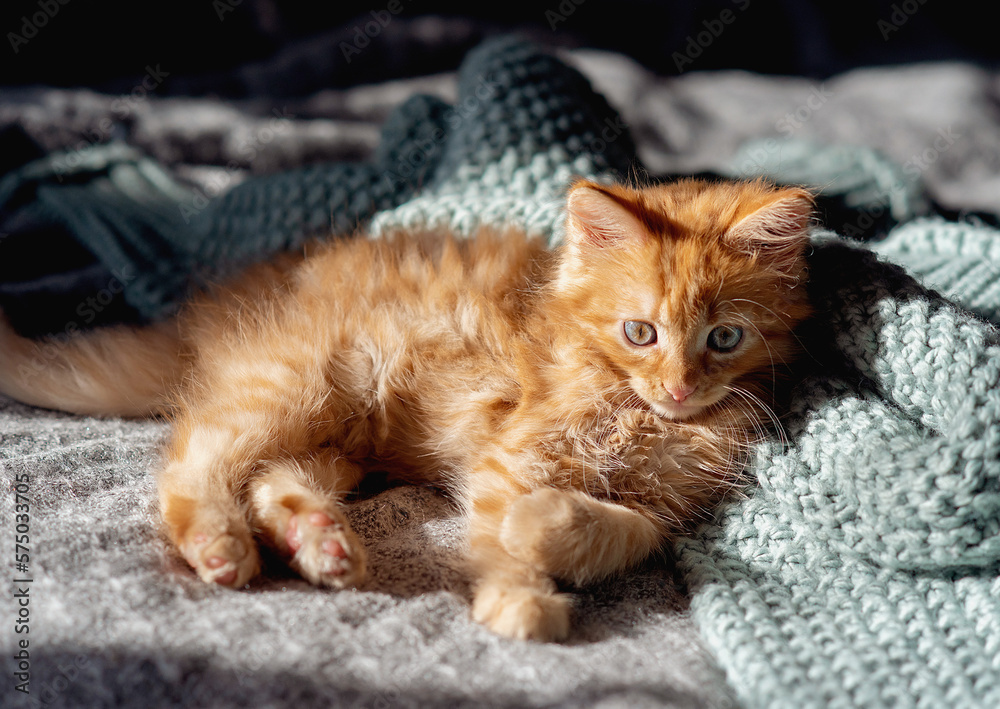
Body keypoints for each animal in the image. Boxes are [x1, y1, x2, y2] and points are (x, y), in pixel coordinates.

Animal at [0, 178, 812, 640]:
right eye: (639, 333)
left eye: (724, 337)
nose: (679, 386)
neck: (643, 413)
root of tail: (220, 305)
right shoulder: (510, 454)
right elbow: (501, 532)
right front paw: (521, 599)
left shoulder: (666, 506)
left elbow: (629, 530)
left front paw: (548, 531)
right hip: (296, 382)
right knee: (193, 455)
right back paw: (220, 542)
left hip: (338, 436)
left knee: (269, 477)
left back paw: (318, 540)